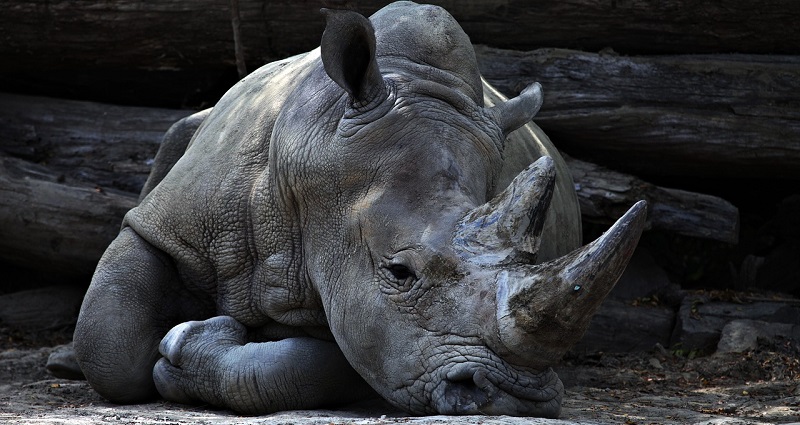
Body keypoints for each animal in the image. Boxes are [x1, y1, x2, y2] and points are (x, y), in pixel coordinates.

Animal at [72, 1, 646, 418]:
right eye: (399, 272)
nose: (514, 398)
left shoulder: (373, 318)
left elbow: (330, 361)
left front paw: (191, 345)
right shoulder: (171, 223)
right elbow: (107, 343)